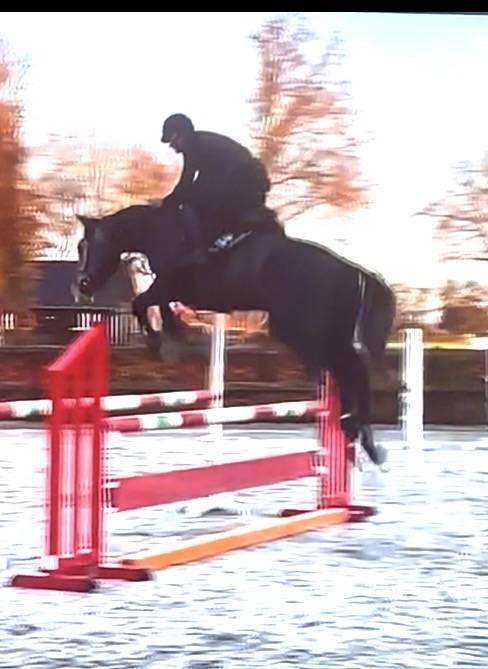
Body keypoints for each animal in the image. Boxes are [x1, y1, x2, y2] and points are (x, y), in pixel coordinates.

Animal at [73, 204, 396, 466]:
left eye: (84, 245)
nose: (81, 286)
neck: (162, 231)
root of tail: (355, 272)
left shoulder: (173, 286)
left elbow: (142, 303)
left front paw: (161, 344)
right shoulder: (175, 291)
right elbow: (155, 305)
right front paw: (175, 336)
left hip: (306, 330)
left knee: (349, 367)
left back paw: (356, 429)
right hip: (318, 331)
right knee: (350, 368)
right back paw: (361, 435)